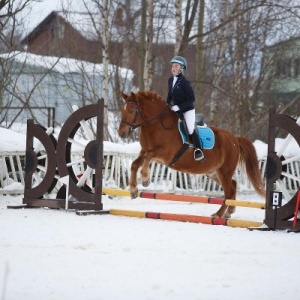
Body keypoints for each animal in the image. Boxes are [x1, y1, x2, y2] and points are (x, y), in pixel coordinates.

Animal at [117, 90, 264, 217]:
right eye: (122, 111)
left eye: (131, 111)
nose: (121, 133)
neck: (156, 125)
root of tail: (235, 139)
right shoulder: (146, 151)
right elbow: (135, 164)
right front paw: (133, 190)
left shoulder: (164, 154)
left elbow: (147, 158)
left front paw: (146, 179)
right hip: (213, 172)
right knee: (233, 186)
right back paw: (230, 211)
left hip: (224, 171)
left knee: (228, 191)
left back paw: (218, 214)